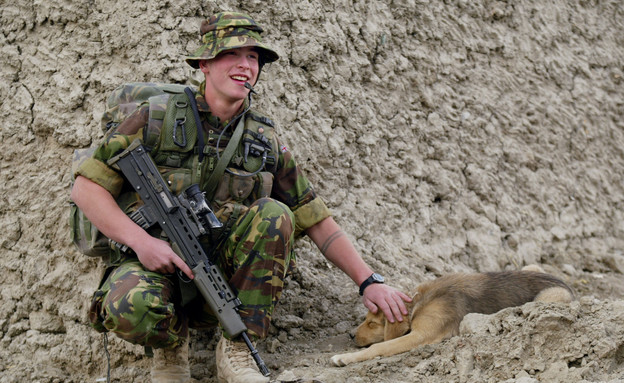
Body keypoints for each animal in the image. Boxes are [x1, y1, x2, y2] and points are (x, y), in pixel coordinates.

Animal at [330, 266, 572, 368]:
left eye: (372, 323)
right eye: (365, 319)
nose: (350, 335)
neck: (418, 302)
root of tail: (566, 285)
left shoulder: (420, 336)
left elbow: (378, 347)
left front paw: (344, 358)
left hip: (548, 297)